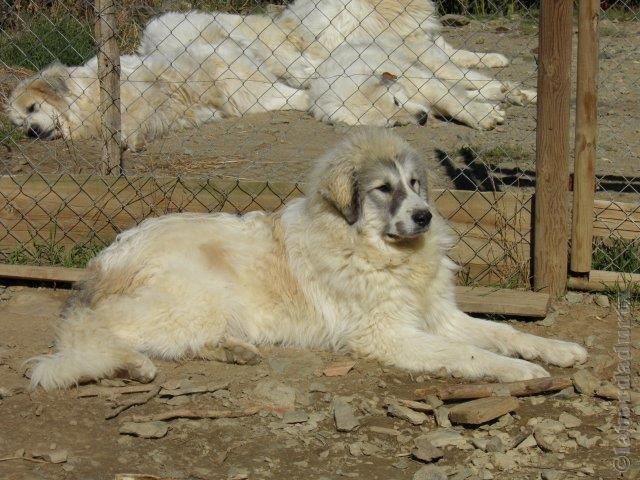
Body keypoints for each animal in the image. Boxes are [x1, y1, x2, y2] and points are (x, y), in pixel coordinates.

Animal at [32, 129, 588, 388]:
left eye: (414, 183)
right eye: (384, 189)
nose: (425, 216)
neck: (374, 249)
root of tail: (101, 264)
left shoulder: (441, 316)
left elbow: (505, 332)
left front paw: (557, 350)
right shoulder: (386, 334)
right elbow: (468, 354)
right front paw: (521, 372)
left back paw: (235, 351)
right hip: (195, 295)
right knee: (95, 339)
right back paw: (132, 365)